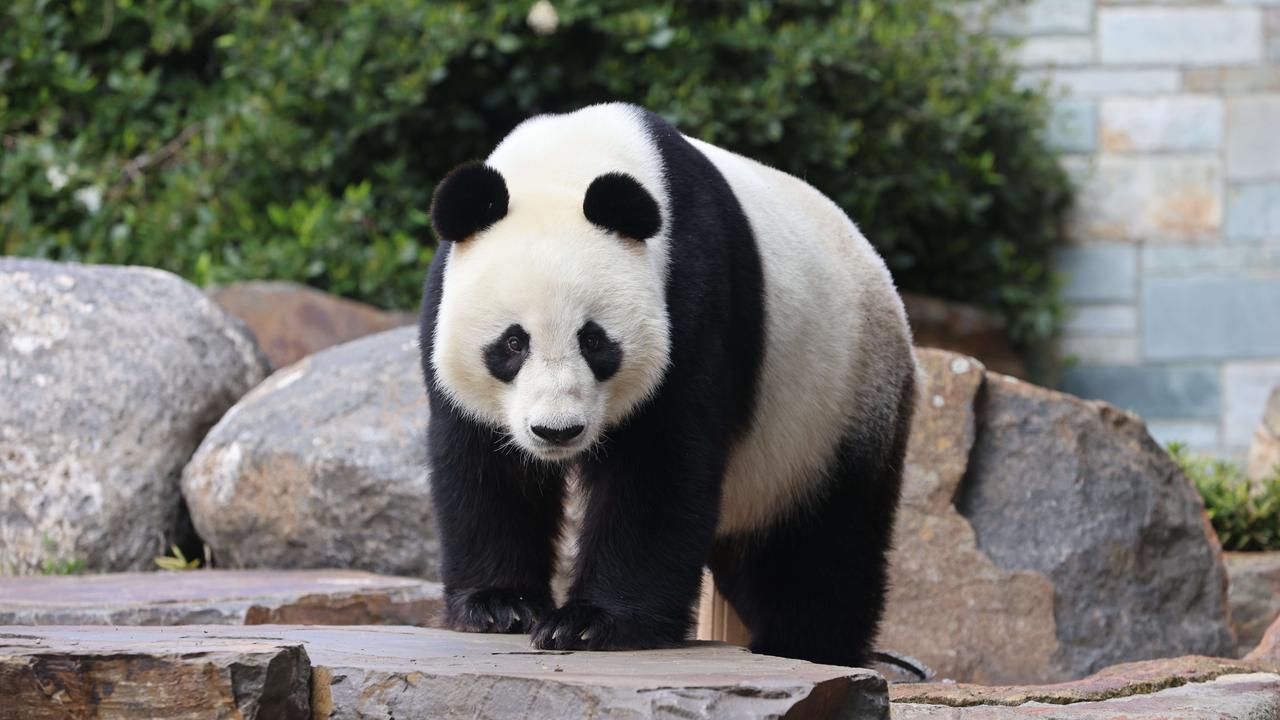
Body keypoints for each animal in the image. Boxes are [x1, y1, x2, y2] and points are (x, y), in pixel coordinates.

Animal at [422, 102, 921, 666]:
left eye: (594, 341)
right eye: (512, 343)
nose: (557, 431)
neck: (568, 163)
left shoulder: (691, 294)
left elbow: (659, 465)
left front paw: (591, 623)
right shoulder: (446, 307)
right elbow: (485, 466)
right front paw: (499, 605)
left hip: (838, 406)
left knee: (822, 544)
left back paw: (804, 646)